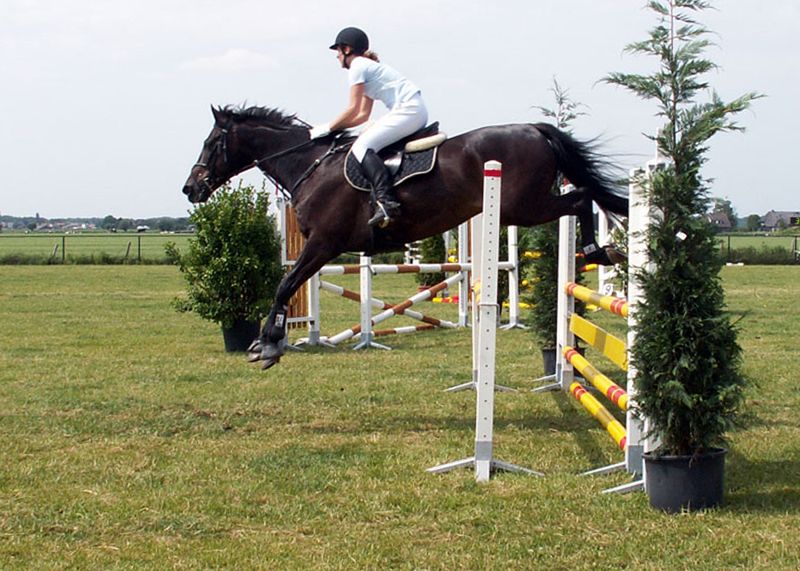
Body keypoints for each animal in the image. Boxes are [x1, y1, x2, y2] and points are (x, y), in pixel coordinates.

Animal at [184, 105, 628, 370]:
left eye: (211, 143)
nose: (191, 188)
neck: (310, 164)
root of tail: (533, 128)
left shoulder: (324, 243)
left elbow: (284, 285)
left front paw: (268, 345)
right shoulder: (322, 247)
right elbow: (287, 283)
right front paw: (269, 342)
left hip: (524, 207)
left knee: (581, 196)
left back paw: (599, 250)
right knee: (583, 195)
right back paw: (603, 250)